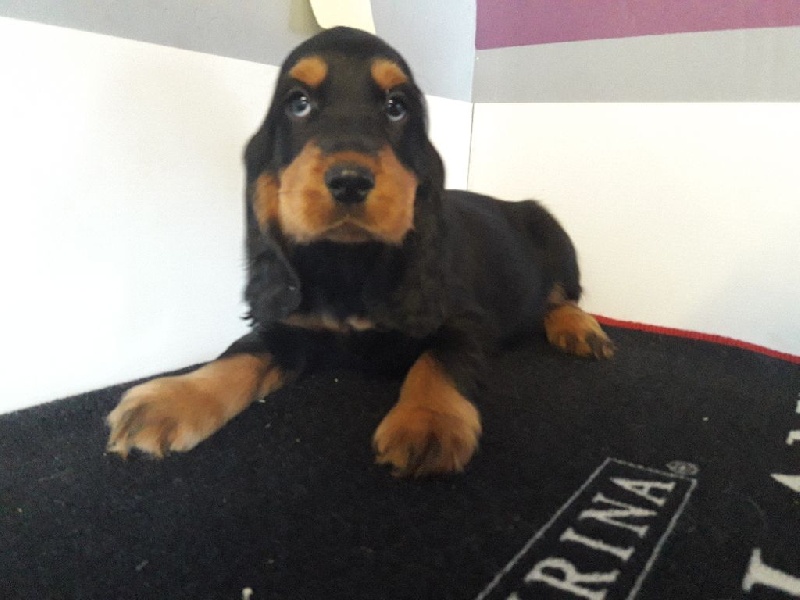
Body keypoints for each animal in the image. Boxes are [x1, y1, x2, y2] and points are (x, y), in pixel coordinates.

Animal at [106, 27, 614, 476]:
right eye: (298, 103)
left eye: (396, 107)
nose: (349, 180)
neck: (346, 261)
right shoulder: (291, 324)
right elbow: (240, 353)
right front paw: (169, 399)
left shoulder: (466, 320)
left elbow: (440, 358)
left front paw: (427, 422)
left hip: (555, 236)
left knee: (561, 297)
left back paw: (580, 329)